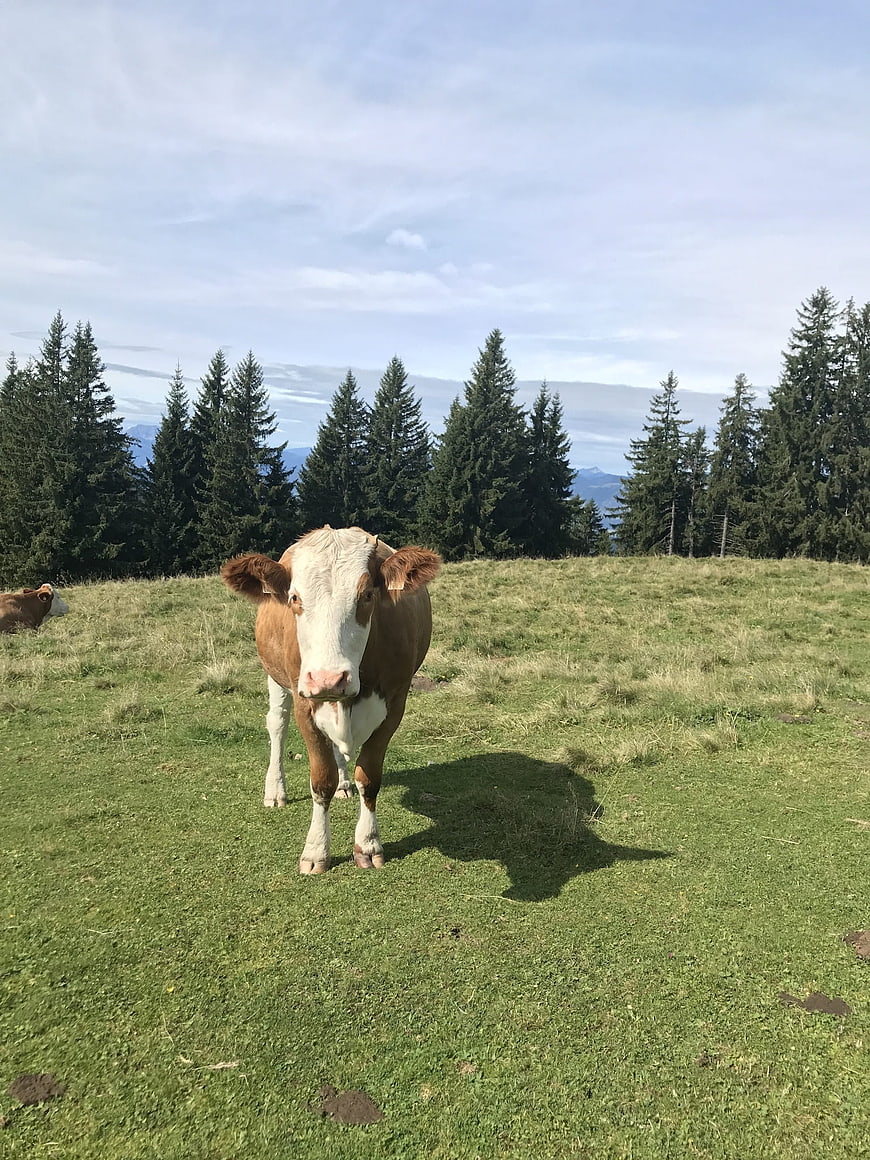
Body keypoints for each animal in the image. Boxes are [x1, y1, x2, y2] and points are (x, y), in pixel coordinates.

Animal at [221, 526, 441, 874]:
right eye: (295, 598)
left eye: (367, 595)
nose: (328, 679)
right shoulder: (304, 703)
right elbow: (320, 780)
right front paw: (316, 851)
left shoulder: (396, 703)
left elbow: (369, 777)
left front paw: (367, 844)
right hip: (276, 678)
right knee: (277, 725)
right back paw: (275, 790)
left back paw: (343, 784)